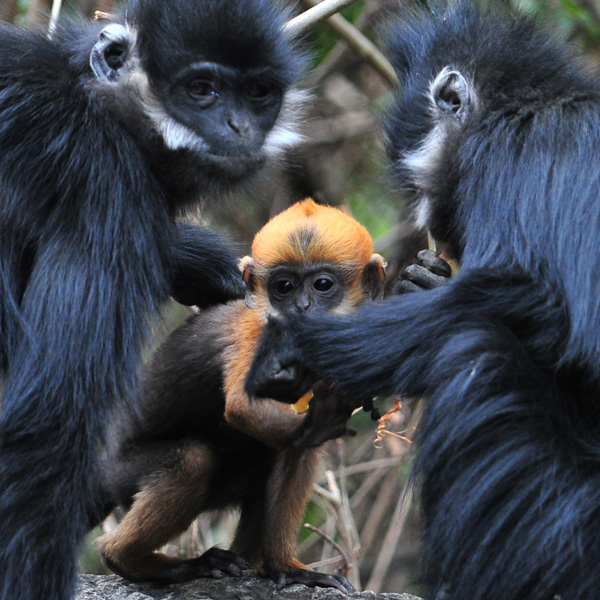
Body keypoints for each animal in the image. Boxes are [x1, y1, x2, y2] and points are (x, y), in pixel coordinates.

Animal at [96, 200, 386, 592]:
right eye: (284, 287)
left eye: (323, 285)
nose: (301, 307)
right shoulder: (252, 332)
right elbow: (243, 408)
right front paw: (323, 416)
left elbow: (297, 444)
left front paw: (289, 568)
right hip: (124, 475)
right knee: (191, 461)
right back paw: (145, 562)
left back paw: (267, 565)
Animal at [246, 4, 600, 600]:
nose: (427, 217)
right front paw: (420, 279)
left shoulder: (515, 150)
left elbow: (540, 299)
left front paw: (290, 347)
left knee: (475, 348)